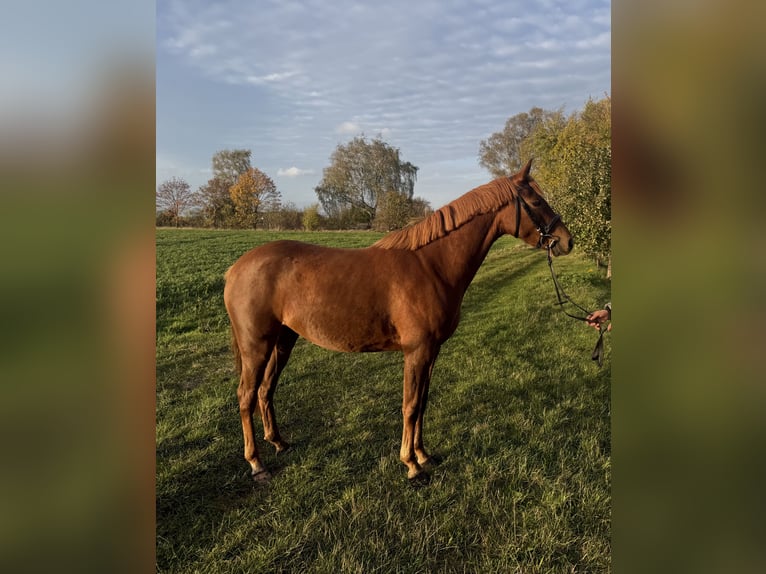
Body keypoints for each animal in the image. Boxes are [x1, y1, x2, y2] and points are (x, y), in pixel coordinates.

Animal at [223, 159, 573, 483]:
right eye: (536, 201)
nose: (566, 241)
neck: (431, 266)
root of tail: (235, 269)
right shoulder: (416, 352)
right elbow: (410, 405)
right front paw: (411, 466)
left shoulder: (431, 352)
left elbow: (422, 403)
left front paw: (424, 455)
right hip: (256, 345)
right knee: (246, 396)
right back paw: (256, 464)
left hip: (283, 340)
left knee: (266, 390)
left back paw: (279, 443)